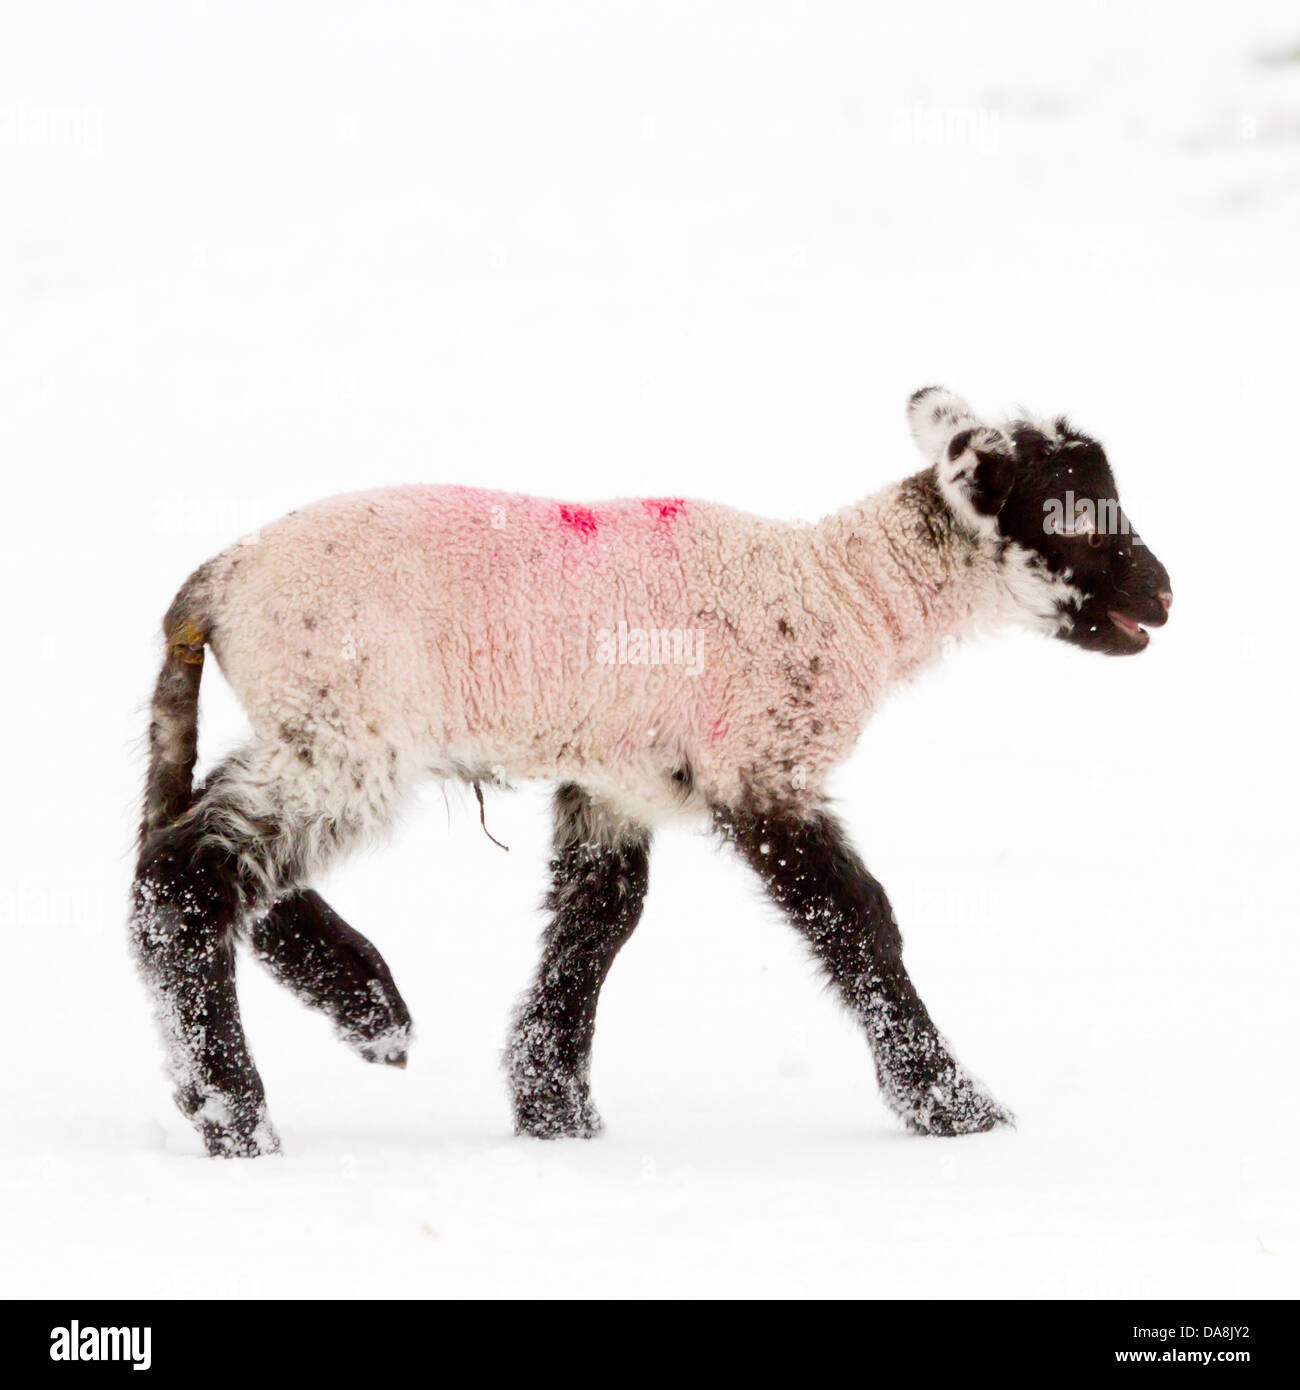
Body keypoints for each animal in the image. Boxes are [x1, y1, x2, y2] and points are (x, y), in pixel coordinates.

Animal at [127, 386, 1173, 1156]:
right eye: (1080, 522)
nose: (1164, 596)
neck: (844, 594)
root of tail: (211, 585)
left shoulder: (619, 778)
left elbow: (600, 921)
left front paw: (555, 1111)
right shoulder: (762, 760)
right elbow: (859, 921)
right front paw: (957, 1108)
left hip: (316, 731)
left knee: (207, 864)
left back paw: (360, 1010)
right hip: (347, 729)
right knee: (184, 879)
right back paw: (240, 1116)